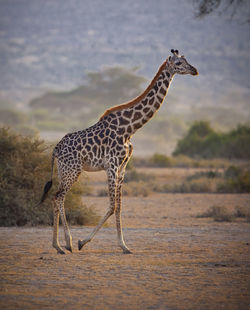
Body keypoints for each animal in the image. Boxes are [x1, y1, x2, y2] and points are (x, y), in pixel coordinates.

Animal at [39, 49, 198, 253]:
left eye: (186, 60)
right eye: (178, 63)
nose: (194, 70)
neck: (130, 128)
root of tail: (56, 149)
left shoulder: (123, 167)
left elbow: (120, 207)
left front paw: (124, 245)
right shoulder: (112, 165)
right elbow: (112, 206)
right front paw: (83, 241)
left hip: (65, 170)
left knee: (57, 198)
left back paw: (59, 244)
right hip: (72, 170)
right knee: (58, 197)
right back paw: (65, 243)